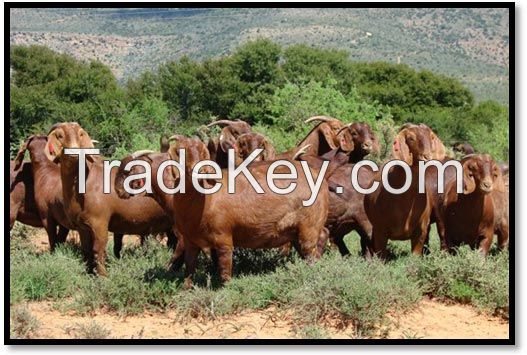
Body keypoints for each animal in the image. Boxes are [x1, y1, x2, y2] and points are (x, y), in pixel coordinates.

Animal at [44, 122, 176, 276]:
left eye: (80, 134)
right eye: (60, 135)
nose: (73, 153)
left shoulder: (100, 223)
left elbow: (98, 249)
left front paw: (102, 276)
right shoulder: (82, 226)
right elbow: (86, 250)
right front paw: (89, 273)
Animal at [118, 137, 330, 290]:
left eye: (202, 151)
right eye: (180, 152)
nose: (119, 191)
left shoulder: (221, 238)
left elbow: (221, 267)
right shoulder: (191, 239)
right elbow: (191, 265)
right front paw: (186, 286)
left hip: (309, 227)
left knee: (313, 247)